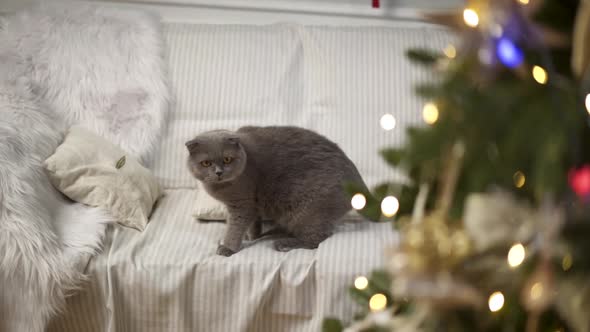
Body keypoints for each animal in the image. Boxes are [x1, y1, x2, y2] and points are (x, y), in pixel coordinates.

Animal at [187, 126, 368, 255]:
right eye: (206, 163)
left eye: (227, 159)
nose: (219, 172)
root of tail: (359, 183)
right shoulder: (253, 202)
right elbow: (253, 223)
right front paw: (251, 236)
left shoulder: (242, 203)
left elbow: (235, 226)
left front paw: (228, 247)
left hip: (308, 211)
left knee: (317, 239)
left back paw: (284, 243)